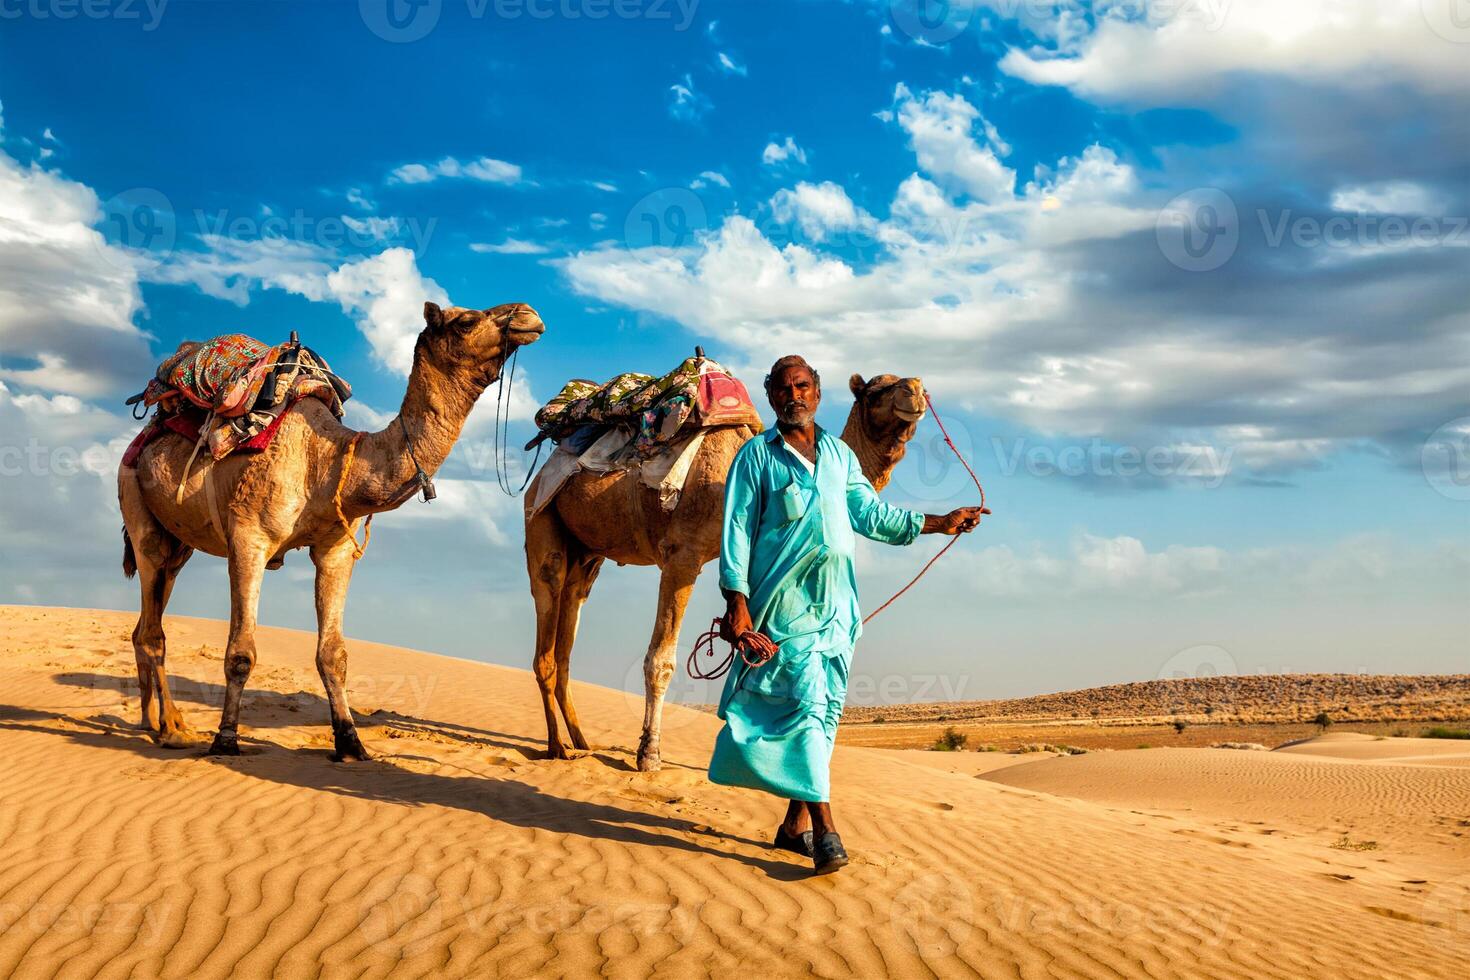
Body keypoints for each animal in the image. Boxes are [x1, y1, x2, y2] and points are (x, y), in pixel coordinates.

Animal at [119, 302, 546, 764]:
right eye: (466, 321)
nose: (529, 314)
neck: (327, 459)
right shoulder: (249, 539)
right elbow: (241, 653)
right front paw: (226, 739)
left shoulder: (335, 548)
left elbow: (333, 654)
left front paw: (350, 741)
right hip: (137, 507)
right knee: (153, 627)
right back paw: (173, 729)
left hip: (178, 545)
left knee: (146, 621)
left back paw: (151, 721)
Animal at [523, 371, 923, 769]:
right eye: (874, 391)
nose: (915, 390)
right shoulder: (682, 554)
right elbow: (660, 661)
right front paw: (649, 753)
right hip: (541, 516)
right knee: (547, 610)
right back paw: (556, 747)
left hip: (588, 552)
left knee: (571, 619)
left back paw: (580, 741)